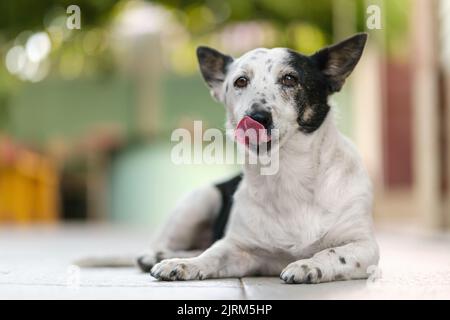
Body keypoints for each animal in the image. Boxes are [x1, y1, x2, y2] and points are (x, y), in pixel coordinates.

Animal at [78, 31, 380, 282]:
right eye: (241, 81)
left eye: (290, 79)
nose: (256, 117)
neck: (286, 173)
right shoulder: (240, 249)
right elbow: (213, 254)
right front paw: (186, 265)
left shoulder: (365, 247)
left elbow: (332, 253)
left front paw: (308, 265)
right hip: (201, 199)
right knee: (173, 245)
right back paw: (160, 256)